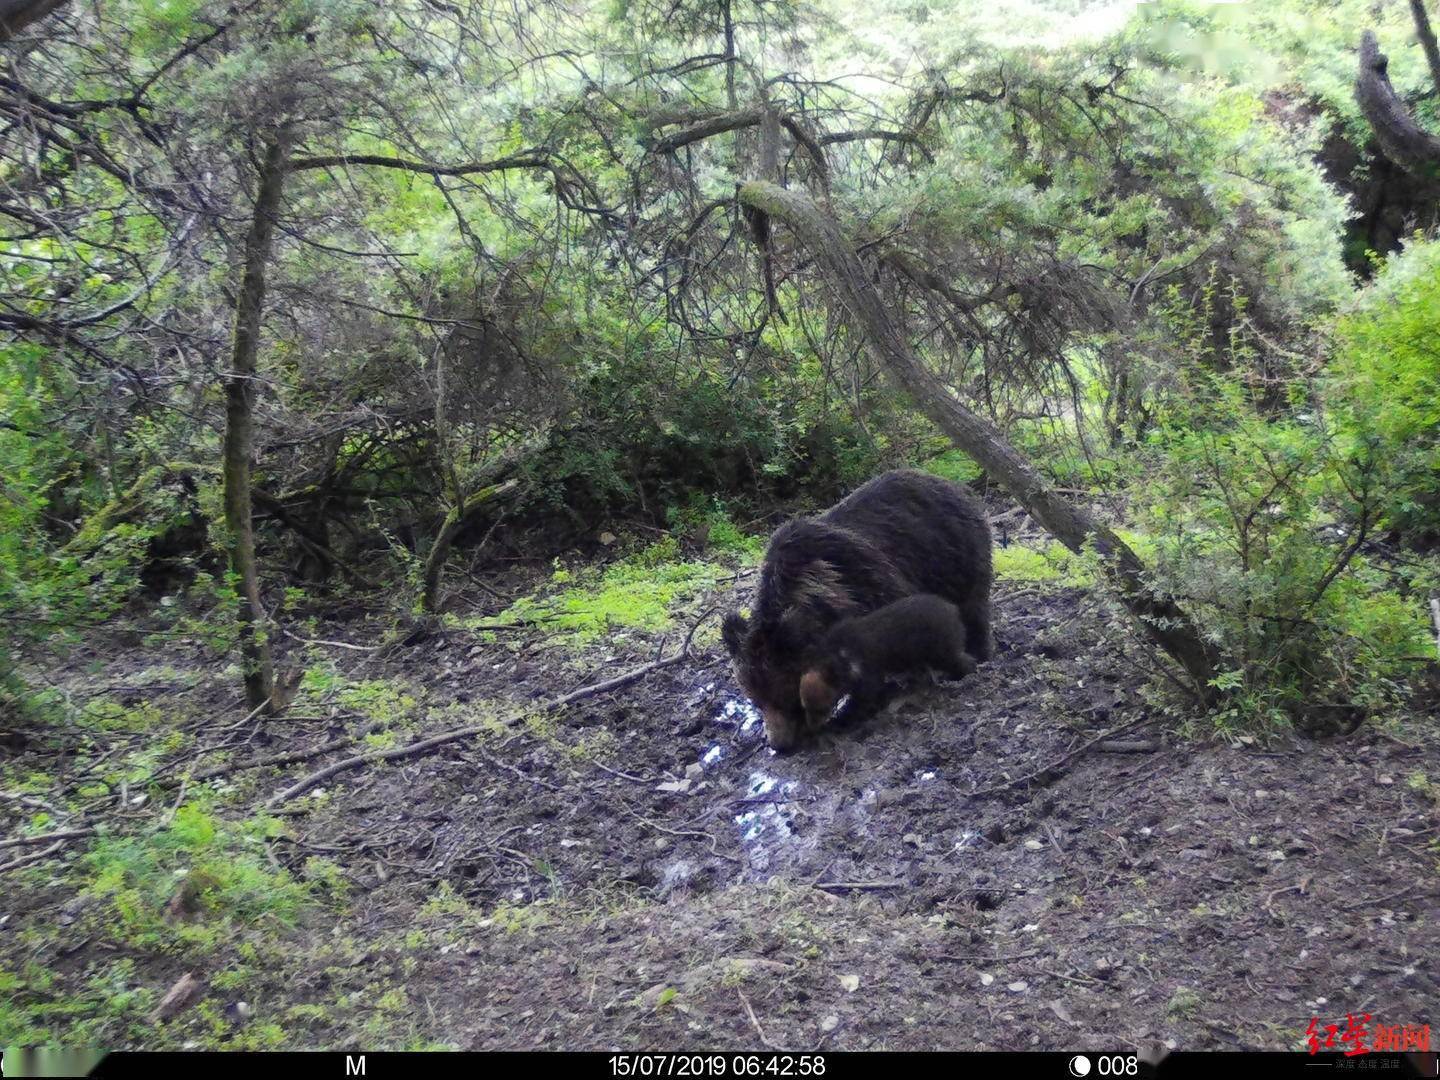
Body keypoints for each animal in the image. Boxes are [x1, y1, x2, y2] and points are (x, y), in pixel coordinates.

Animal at [720, 472, 990, 754]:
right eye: (756, 699)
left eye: (784, 696)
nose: (779, 744)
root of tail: (947, 482)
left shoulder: (873, 585)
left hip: (957, 552)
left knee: (974, 606)